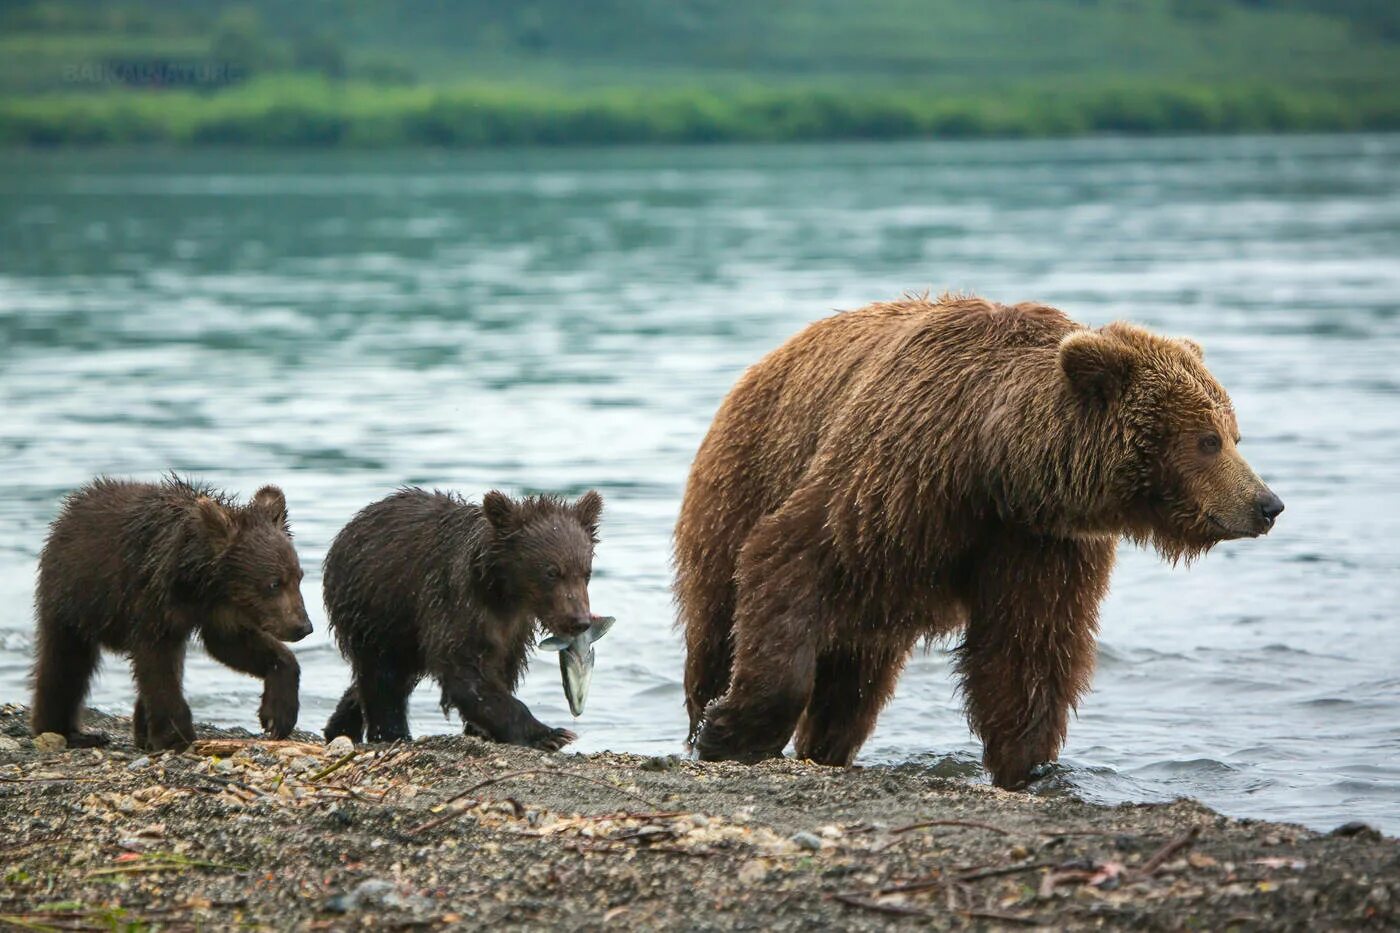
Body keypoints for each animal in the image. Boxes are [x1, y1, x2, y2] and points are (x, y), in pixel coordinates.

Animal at [674, 292, 1282, 784]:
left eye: (1234, 434)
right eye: (1207, 439)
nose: (1267, 504)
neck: (993, 463)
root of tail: (764, 362)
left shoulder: (1037, 540)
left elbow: (1027, 647)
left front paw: (1028, 764)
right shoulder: (892, 481)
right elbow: (792, 560)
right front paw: (728, 731)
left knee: (857, 677)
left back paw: (827, 746)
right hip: (744, 479)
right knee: (718, 621)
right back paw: (706, 715)